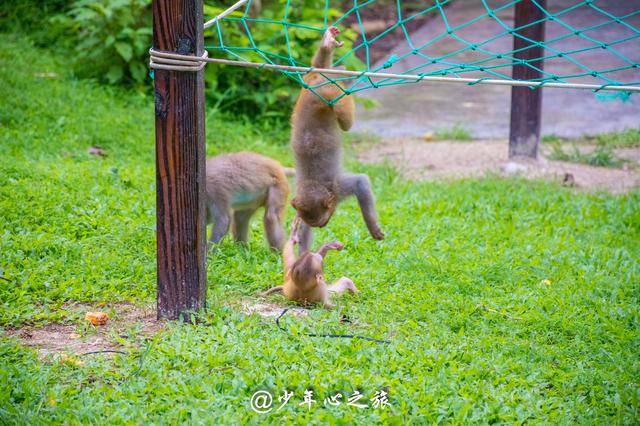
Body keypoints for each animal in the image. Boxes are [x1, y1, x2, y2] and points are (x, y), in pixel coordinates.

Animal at [290, 25, 384, 251]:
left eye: (323, 222)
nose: (323, 227)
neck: (315, 183)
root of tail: (318, 85)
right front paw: (304, 252)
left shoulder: (339, 188)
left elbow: (360, 182)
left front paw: (372, 226)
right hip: (311, 84)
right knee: (318, 67)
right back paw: (326, 47)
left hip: (328, 92)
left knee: (345, 121)